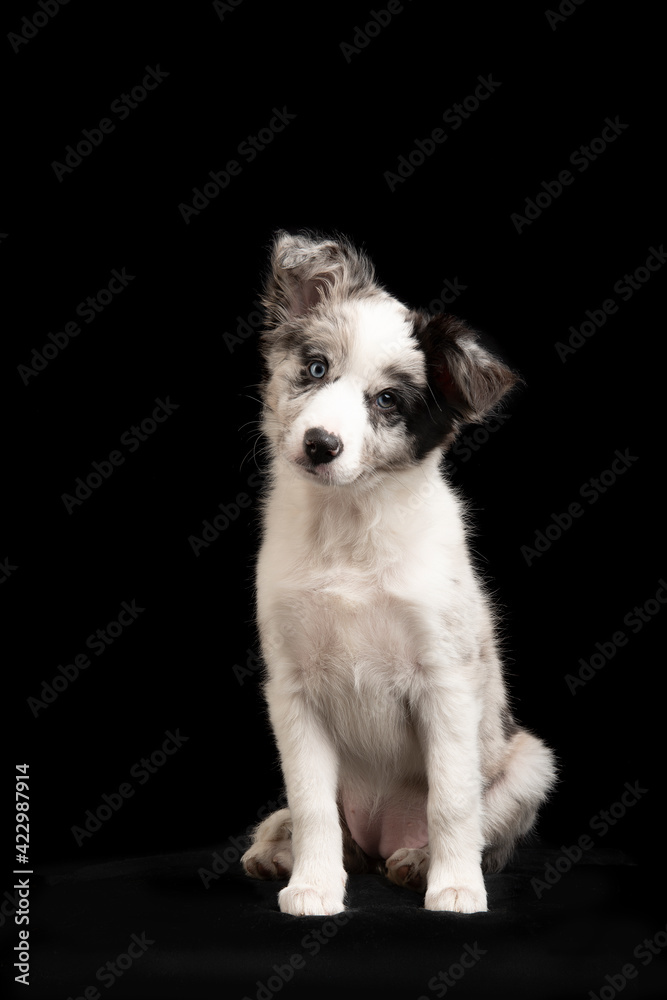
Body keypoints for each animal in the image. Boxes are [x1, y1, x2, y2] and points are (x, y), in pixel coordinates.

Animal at [243, 232, 556, 916]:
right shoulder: (292, 690)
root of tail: (379, 838)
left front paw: (456, 886)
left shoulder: (446, 682)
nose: (320, 445)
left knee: (476, 823)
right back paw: (279, 850)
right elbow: (311, 804)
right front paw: (313, 885)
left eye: (387, 401)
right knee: (320, 827)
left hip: (529, 763)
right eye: (315, 368)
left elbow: (453, 803)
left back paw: (416, 862)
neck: (348, 530)